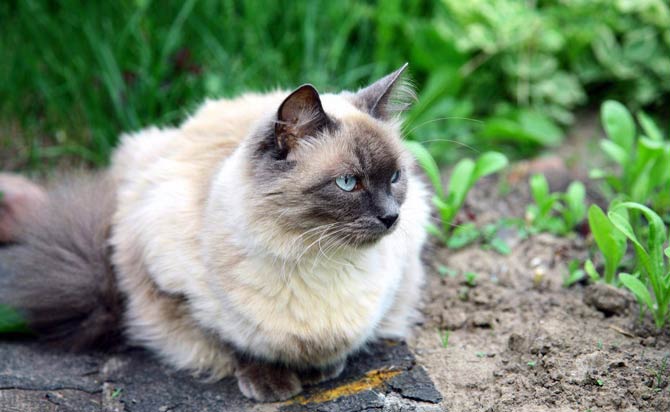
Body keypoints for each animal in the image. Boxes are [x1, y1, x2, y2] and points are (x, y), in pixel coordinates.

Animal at [0, 64, 430, 402]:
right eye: (348, 183)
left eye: (394, 177)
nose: (391, 217)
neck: (313, 256)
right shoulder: (175, 288)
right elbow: (234, 339)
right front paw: (272, 383)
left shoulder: (393, 283)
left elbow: (341, 343)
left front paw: (321, 369)